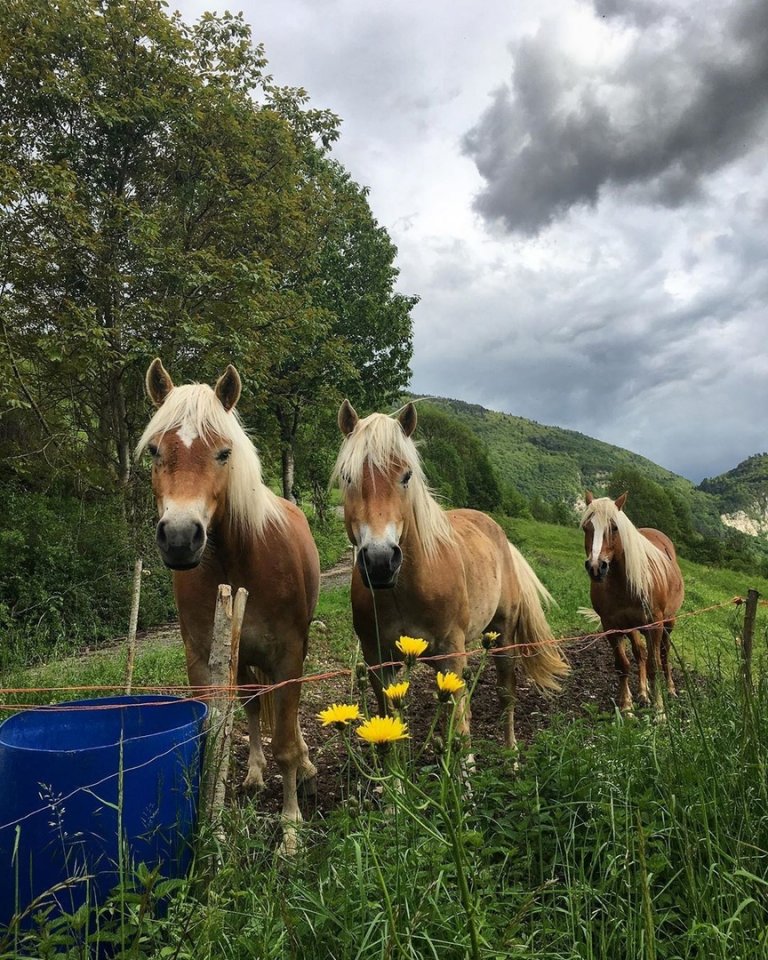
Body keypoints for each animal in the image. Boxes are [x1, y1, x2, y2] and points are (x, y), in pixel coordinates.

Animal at [137, 359, 320, 854]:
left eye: (223, 453)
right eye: (155, 451)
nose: (181, 537)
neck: (240, 562)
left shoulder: (288, 655)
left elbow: (286, 741)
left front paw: (290, 830)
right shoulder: (202, 660)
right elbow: (213, 739)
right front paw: (213, 829)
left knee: (286, 719)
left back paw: (306, 764)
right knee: (254, 707)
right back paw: (255, 774)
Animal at [333, 400, 569, 750]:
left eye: (406, 476)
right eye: (347, 477)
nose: (380, 561)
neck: (405, 591)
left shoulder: (451, 653)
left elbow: (458, 724)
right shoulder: (378, 661)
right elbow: (389, 727)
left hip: (503, 637)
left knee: (505, 694)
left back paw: (511, 753)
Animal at [581, 491, 684, 714]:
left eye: (614, 527)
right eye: (586, 527)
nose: (596, 567)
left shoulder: (654, 625)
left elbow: (655, 665)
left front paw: (659, 711)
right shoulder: (612, 626)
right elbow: (623, 664)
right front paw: (627, 707)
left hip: (668, 622)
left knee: (664, 655)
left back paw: (670, 689)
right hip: (632, 627)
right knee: (640, 654)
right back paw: (643, 694)